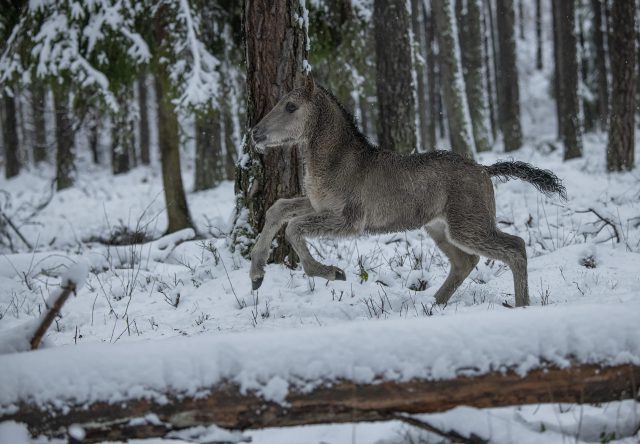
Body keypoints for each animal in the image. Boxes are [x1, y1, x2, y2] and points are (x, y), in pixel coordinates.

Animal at [250, 76, 564, 306]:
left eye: (291, 106)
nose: (254, 133)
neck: (337, 160)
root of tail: (485, 170)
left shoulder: (349, 220)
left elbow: (294, 228)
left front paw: (332, 272)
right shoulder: (319, 205)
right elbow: (278, 209)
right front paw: (256, 275)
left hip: (468, 225)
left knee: (515, 247)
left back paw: (522, 305)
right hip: (440, 227)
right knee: (466, 261)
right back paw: (433, 304)